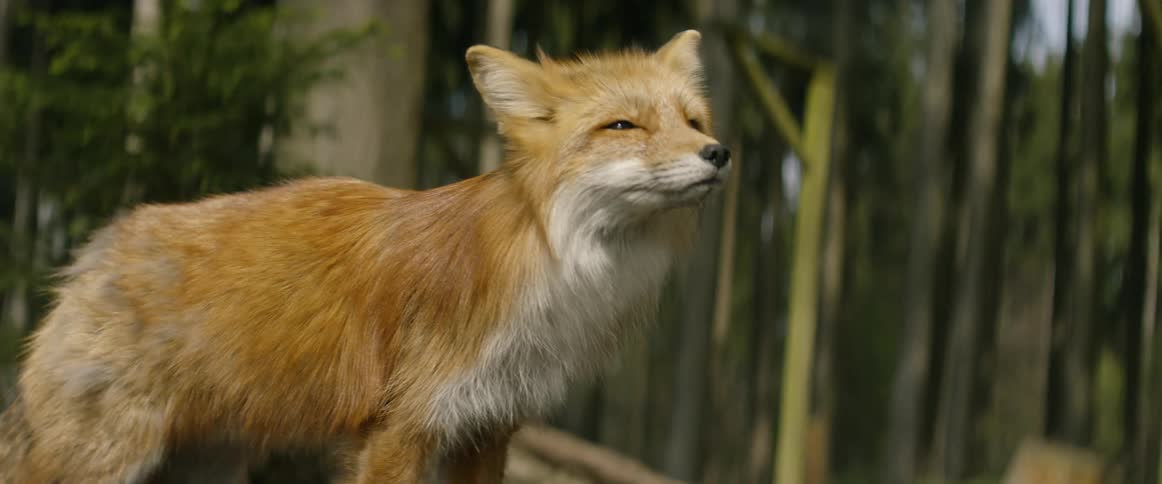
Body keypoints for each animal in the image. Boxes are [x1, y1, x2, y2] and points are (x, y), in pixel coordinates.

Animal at [0, 29, 730, 483]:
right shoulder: (401, 425)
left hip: (204, 464)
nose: (720, 153)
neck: (557, 274)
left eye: (693, 121)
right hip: (106, 458)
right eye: (623, 125)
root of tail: (92, 253)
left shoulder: (489, 426)